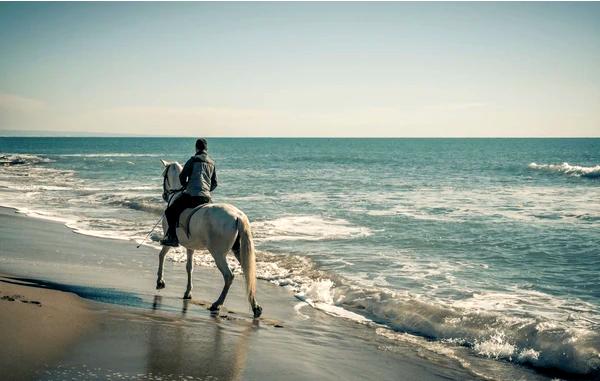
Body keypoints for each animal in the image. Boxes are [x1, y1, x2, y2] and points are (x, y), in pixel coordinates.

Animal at [156, 159, 262, 320]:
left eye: (164, 175)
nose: (164, 194)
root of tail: (238, 216)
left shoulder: (170, 239)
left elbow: (162, 255)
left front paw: (160, 282)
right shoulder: (190, 246)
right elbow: (189, 267)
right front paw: (188, 292)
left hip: (218, 253)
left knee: (229, 276)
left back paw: (217, 304)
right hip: (238, 250)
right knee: (248, 273)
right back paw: (255, 307)